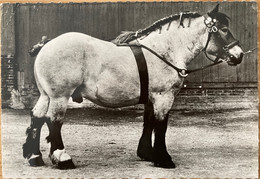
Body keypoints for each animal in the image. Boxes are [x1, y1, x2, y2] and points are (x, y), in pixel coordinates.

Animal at [22, 4, 244, 169]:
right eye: (224, 29)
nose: (239, 54)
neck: (163, 50)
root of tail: (47, 44)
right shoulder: (164, 97)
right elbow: (161, 126)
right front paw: (163, 158)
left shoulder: (151, 98)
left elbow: (149, 122)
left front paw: (146, 153)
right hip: (59, 97)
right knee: (54, 121)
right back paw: (63, 158)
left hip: (46, 95)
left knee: (37, 118)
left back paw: (35, 157)